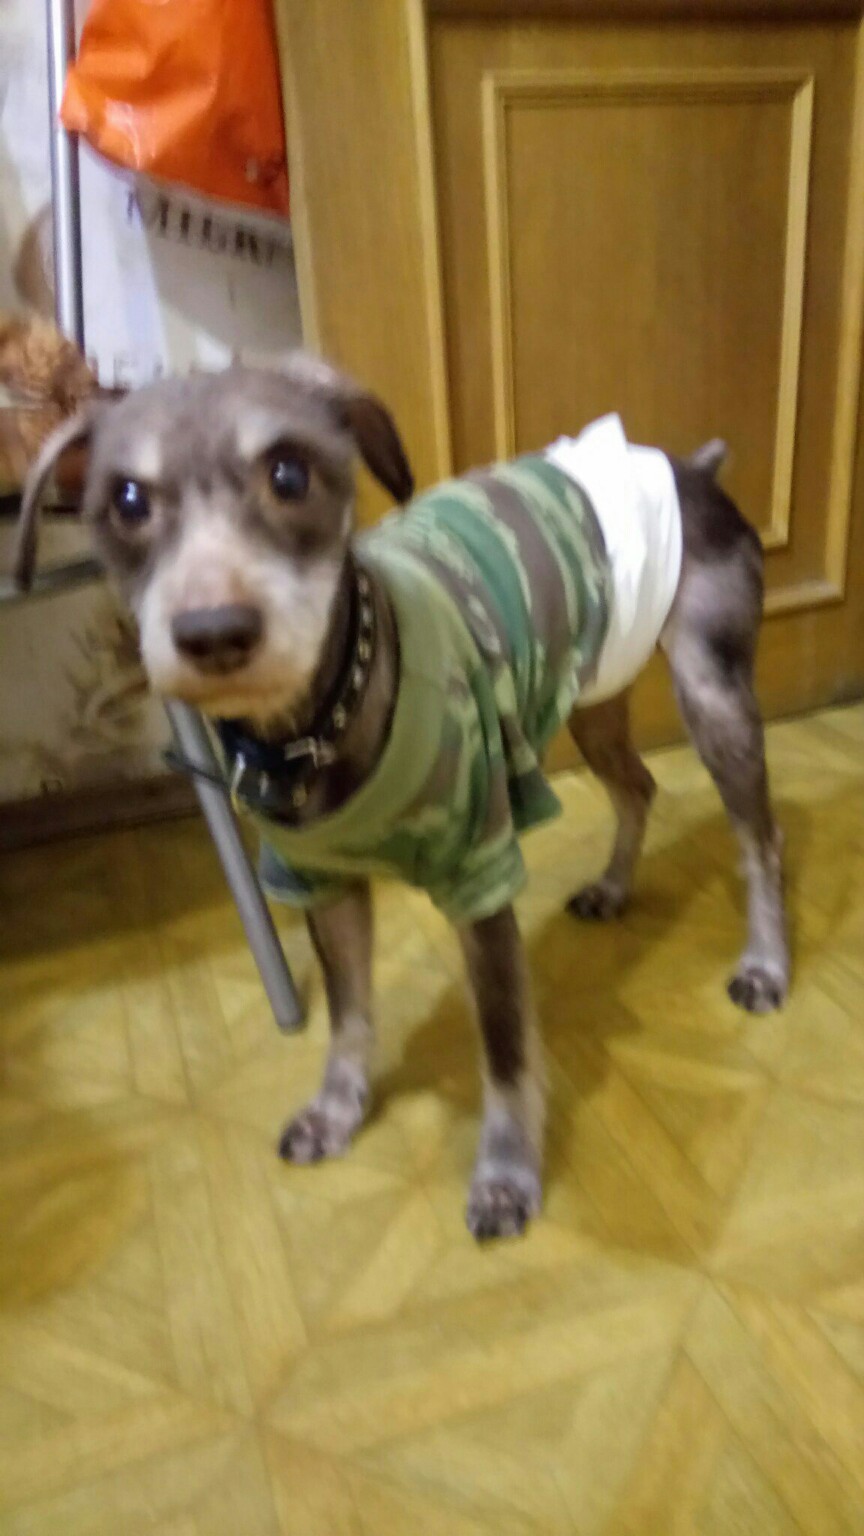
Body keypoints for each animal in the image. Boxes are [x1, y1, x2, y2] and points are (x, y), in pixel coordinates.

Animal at [16, 355, 788, 1240]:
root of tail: (692, 468)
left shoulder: (481, 879)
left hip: (711, 691)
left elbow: (505, 1046)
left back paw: (766, 962)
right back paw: (614, 886)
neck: (320, 725)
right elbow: (349, 1013)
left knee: (760, 839)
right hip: (595, 693)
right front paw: (336, 1110)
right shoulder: (319, 886)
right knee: (637, 785)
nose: (214, 632)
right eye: (127, 501)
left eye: (290, 473)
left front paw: (506, 1173)